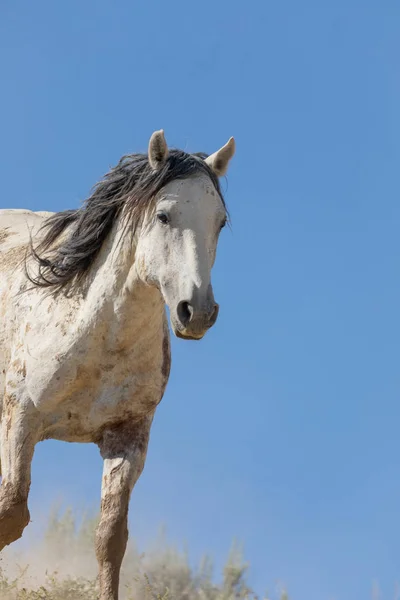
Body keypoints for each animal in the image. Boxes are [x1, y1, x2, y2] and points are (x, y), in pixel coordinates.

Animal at [0, 131, 234, 600]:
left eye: (219, 221)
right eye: (163, 215)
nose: (197, 312)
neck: (99, 336)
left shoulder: (127, 439)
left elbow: (110, 538)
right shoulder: (21, 417)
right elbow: (11, 511)